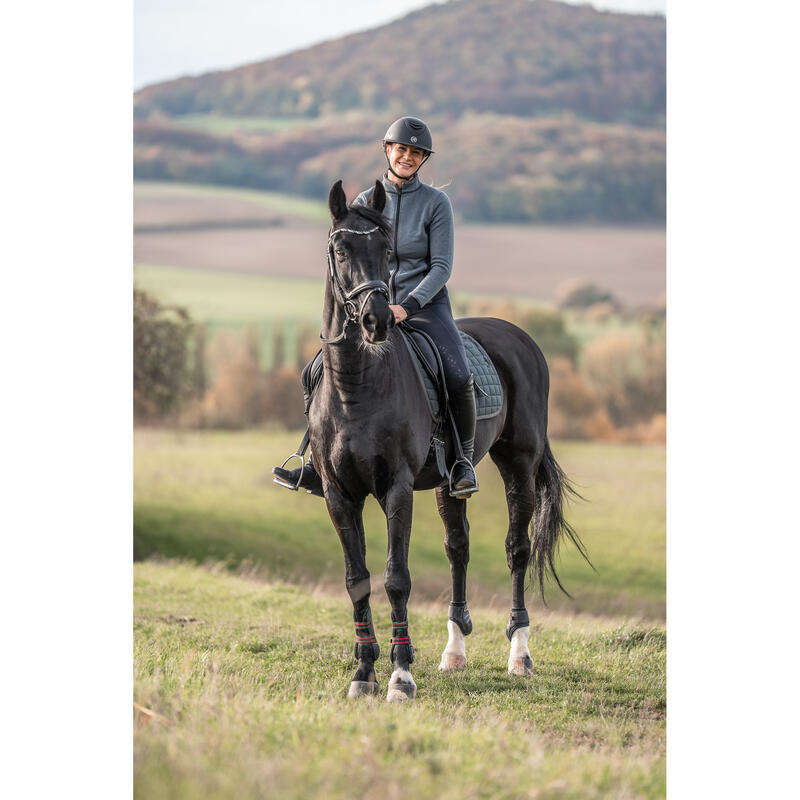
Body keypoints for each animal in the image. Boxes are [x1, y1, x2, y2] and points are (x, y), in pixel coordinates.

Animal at [304, 181, 584, 700]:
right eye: (341, 249)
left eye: (387, 250)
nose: (376, 321)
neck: (358, 385)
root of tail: (519, 335)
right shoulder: (338, 493)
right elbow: (358, 580)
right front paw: (363, 673)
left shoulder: (395, 488)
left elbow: (396, 579)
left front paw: (400, 676)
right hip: (447, 479)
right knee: (459, 547)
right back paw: (454, 651)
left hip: (519, 463)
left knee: (517, 548)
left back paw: (519, 653)